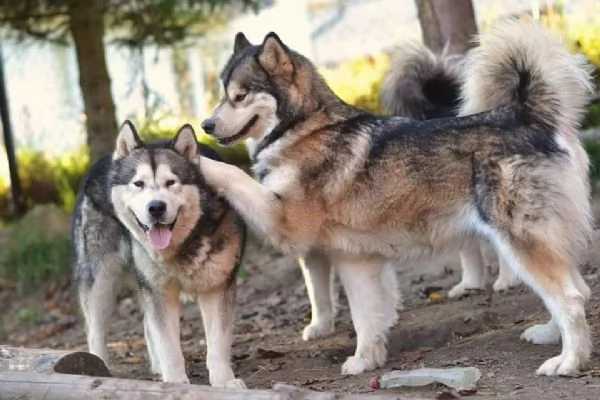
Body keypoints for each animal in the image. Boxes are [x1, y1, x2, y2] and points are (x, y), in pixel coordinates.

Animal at [69, 119, 246, 388]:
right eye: (138, 184)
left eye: (171, 182)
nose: (156, 207)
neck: (181, 245)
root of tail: (104, 160)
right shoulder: (159, 291)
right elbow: (168, 346)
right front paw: (174, 382)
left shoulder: (217, 286)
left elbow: (217, 343)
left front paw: (225, 382)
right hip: (102, 279)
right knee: (95, 329)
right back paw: (99, 366)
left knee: (145, 323)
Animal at [200, 20, 592, 376]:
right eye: (223, 94)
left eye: (239, 95)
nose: (205, 125)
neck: (301, 128)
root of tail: (526, 116)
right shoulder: (356, 259)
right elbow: (367, 317)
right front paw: (366, 360)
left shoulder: (285, 222)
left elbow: (235, 176)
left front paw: (198, 160)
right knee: (579, 289)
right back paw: (549, 335)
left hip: (520, 242)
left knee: (571, 299)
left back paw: (569, 362)